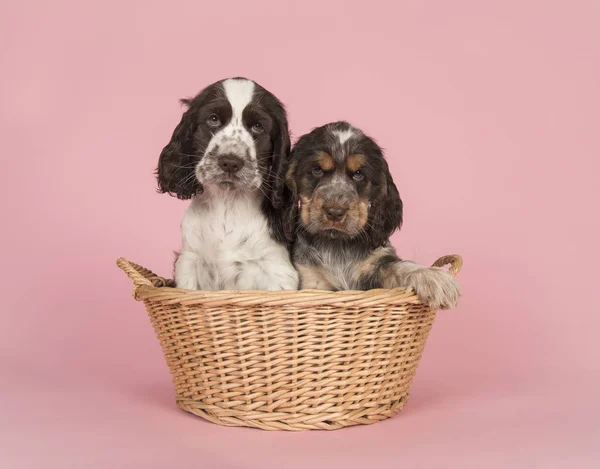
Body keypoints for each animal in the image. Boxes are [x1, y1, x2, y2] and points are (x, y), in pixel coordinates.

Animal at [157, 76, 298, 288]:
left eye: (258, 126)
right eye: (213, 119)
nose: (230, 162)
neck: (228, 203)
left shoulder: (278, 270)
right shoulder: (189, 262)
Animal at [284, 122, 462, 308]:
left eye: (358, 173)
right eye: (317, 169)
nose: (335, 212)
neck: (337, 243)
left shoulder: (378, 265)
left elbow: (400, 266)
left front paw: (433, 277)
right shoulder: (313, 281)